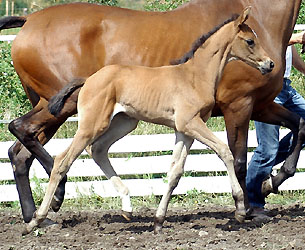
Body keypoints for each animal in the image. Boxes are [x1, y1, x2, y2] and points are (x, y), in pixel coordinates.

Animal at [0, 0, 302, 227]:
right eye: (250, 41)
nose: (269, 64)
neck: (195, 73)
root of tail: (29, 20)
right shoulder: (231, 108)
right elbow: (234, 156)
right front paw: (244, 208)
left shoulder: (202, 123)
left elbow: (175, 171)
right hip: (74, 114)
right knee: (46, 147)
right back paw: (49, 205)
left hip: (116, 121)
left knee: (28, 151)